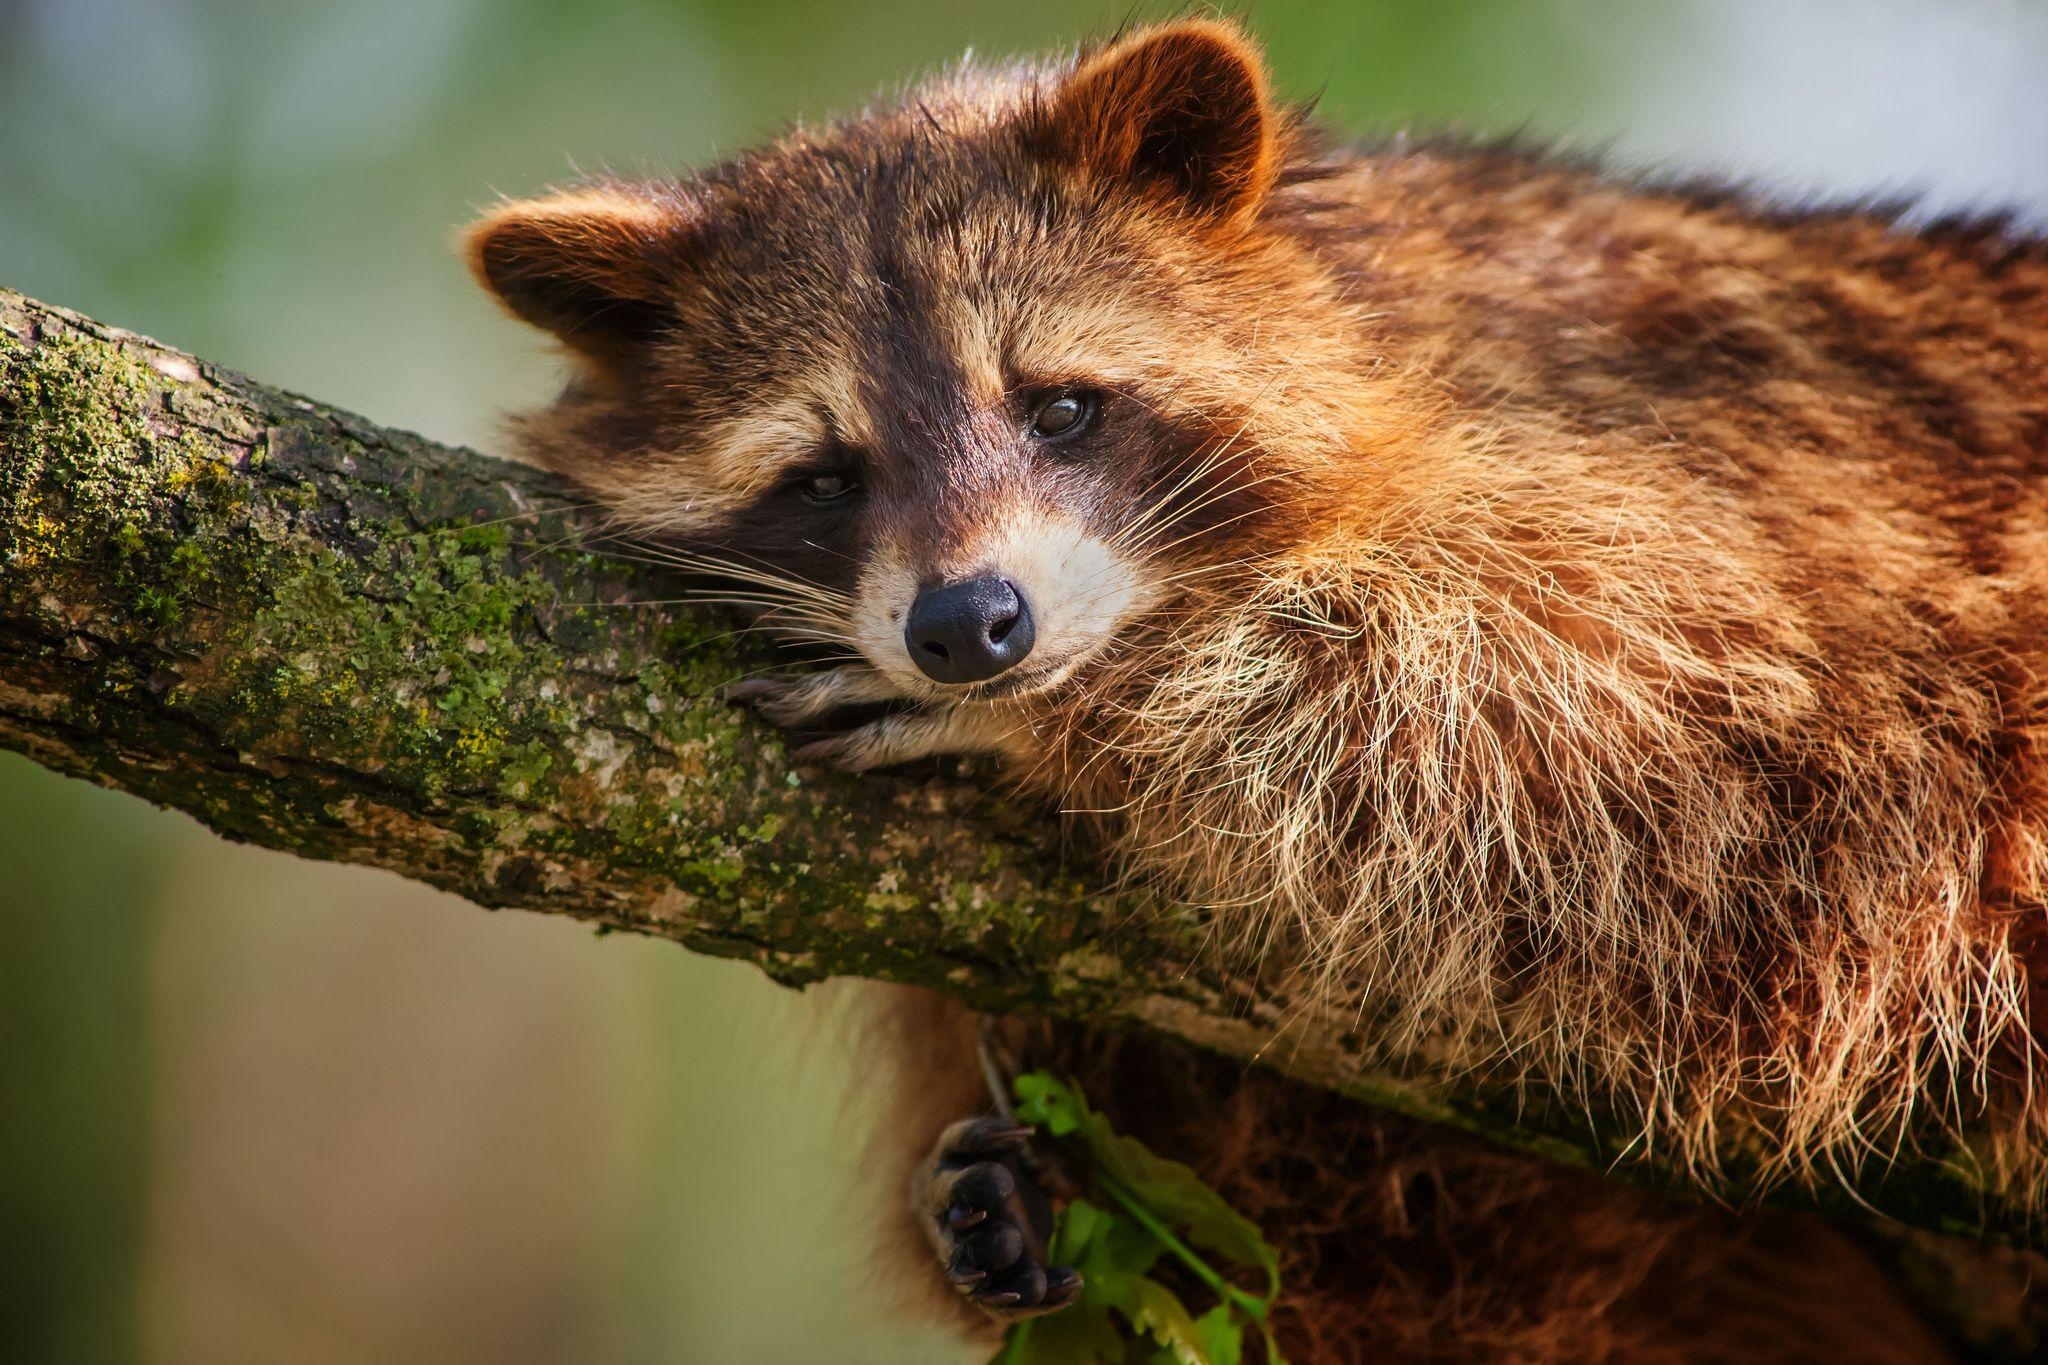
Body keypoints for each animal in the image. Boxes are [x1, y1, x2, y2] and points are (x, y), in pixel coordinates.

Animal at [464, 15, 2048, 1358]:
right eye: (824, 477)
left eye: (1061, 406)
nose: (970, 630)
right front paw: (1024, 1187)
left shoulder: (1765, 464)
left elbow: (1679, 740)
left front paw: (1085, 712)